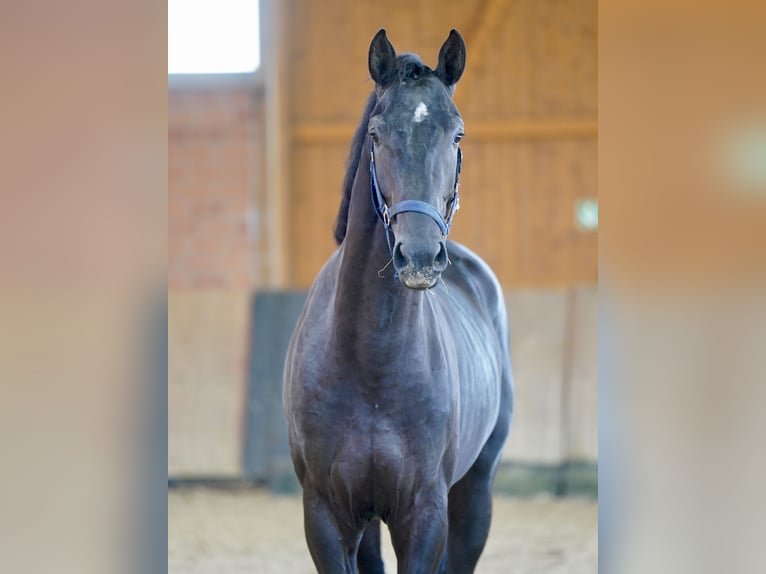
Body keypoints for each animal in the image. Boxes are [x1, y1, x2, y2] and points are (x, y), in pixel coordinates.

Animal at [284, 29, 516, 572]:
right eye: (375, 134)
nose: (420, 256)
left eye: (457, 135)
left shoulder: (424, 515)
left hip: (475, 492)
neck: (373, 359)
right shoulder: (326, 517)